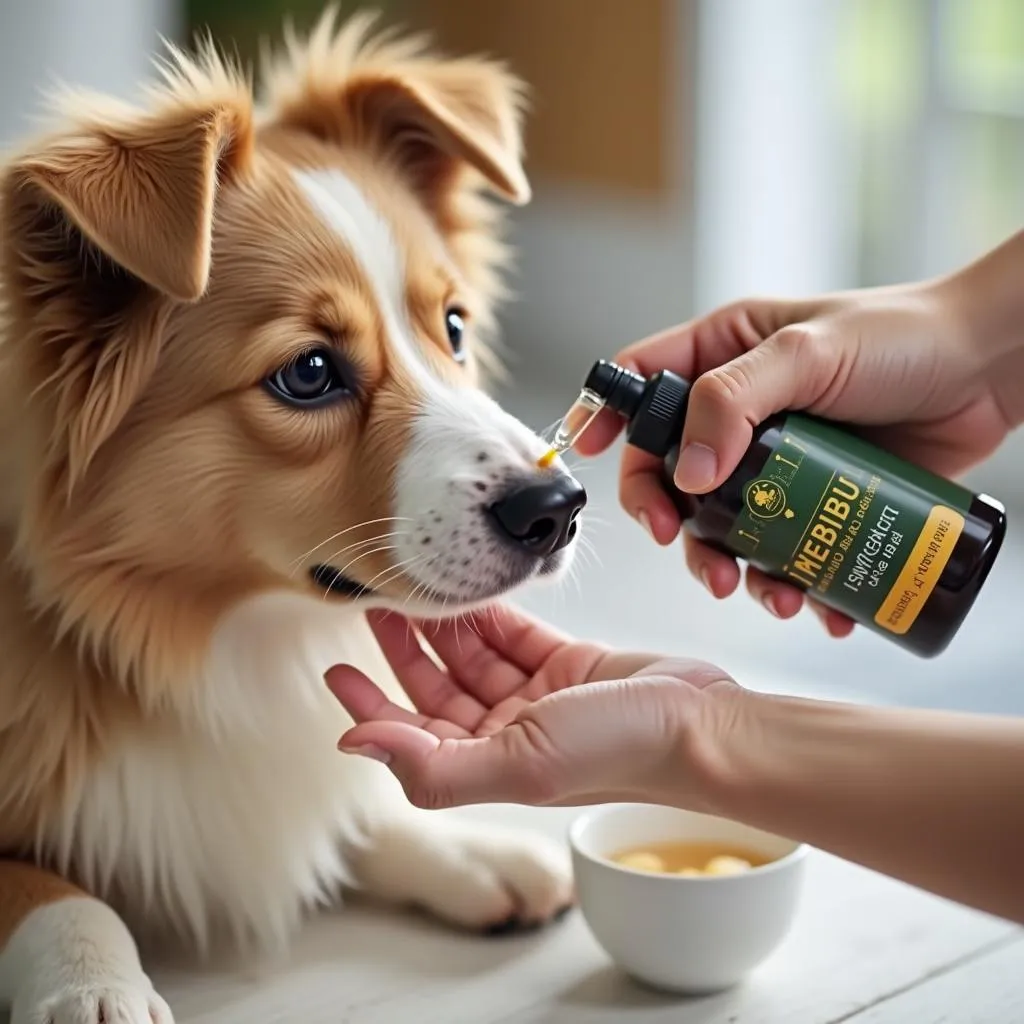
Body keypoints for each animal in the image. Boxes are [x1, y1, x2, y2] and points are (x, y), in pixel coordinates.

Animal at [0, 9, 589, 1024]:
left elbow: (343, 803)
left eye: (455, 327)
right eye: (309, 373)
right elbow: (50, 888)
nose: (557, 510)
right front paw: (93, 984)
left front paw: (471, 852)